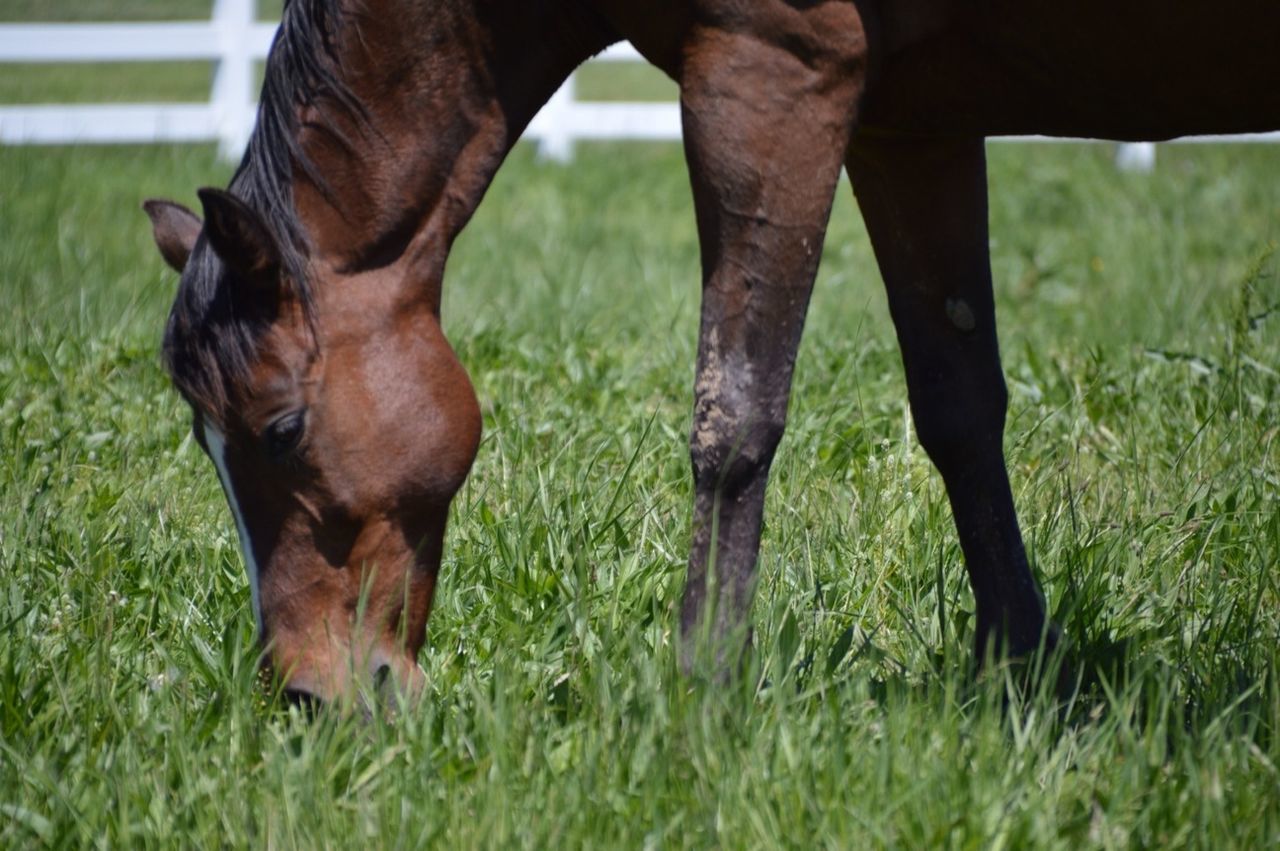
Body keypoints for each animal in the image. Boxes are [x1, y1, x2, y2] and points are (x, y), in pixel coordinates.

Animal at [145, 0, 1280, 701]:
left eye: (281, 429)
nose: (308, 692)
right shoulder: (910, 124)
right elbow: (958, 406)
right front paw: (1017, 666)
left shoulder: (767, 78)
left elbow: (733, 413)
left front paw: (704, 686)